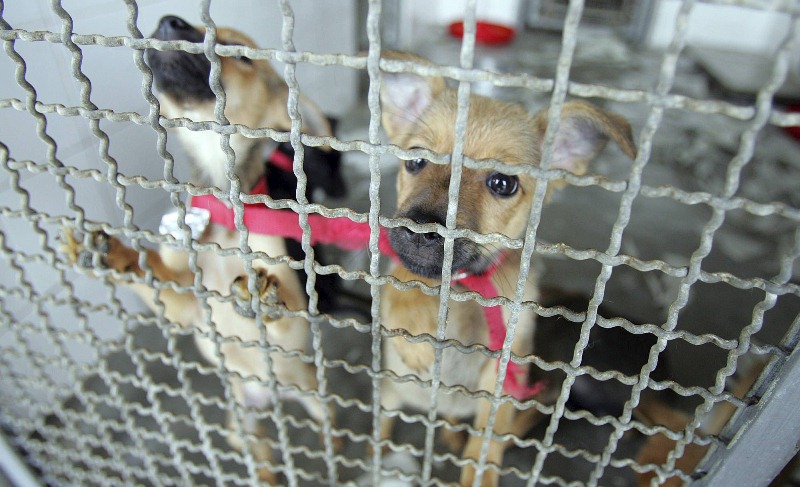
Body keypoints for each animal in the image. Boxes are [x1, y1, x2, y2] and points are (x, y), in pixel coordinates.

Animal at [61, 16, 338, 484]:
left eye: (240, 54)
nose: (169, 21)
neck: (224, 219)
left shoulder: (295, 324)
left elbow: (284, 311)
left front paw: (262, 297)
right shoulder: (187, 306)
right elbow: (151, 274)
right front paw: (110, 254)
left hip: (313, 397)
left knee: (329, 428)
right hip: (242, 426)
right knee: (260, 458)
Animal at [376, 51, 636, 486]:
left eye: (503, 183)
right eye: (416, 161)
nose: (421, 230)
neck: (469, 291)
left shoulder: (505, 370)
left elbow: (487, 439)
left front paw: (478, 470)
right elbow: (403, 280)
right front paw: (413, 325)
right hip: (391, 397)